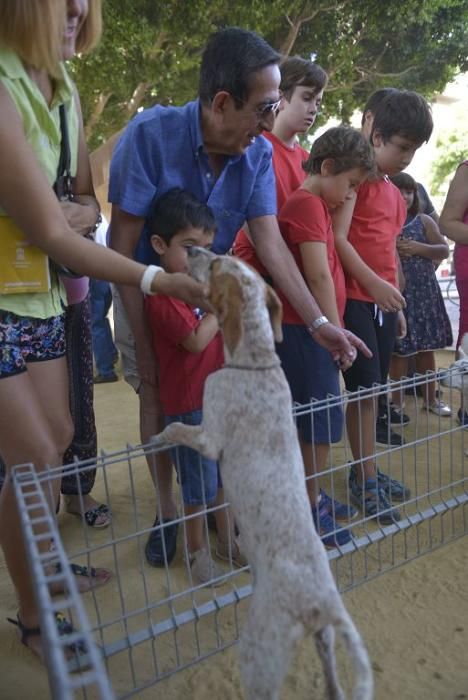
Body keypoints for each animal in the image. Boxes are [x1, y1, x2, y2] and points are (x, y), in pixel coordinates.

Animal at [153, 249, 372, 696]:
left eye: (215, 264)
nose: (192, 251)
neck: (256, 363)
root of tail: (320, 602)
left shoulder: (208, 437)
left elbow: (176, 428)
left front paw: (158, 437)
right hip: (324, 639)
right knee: (333, 681)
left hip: (258, 654)